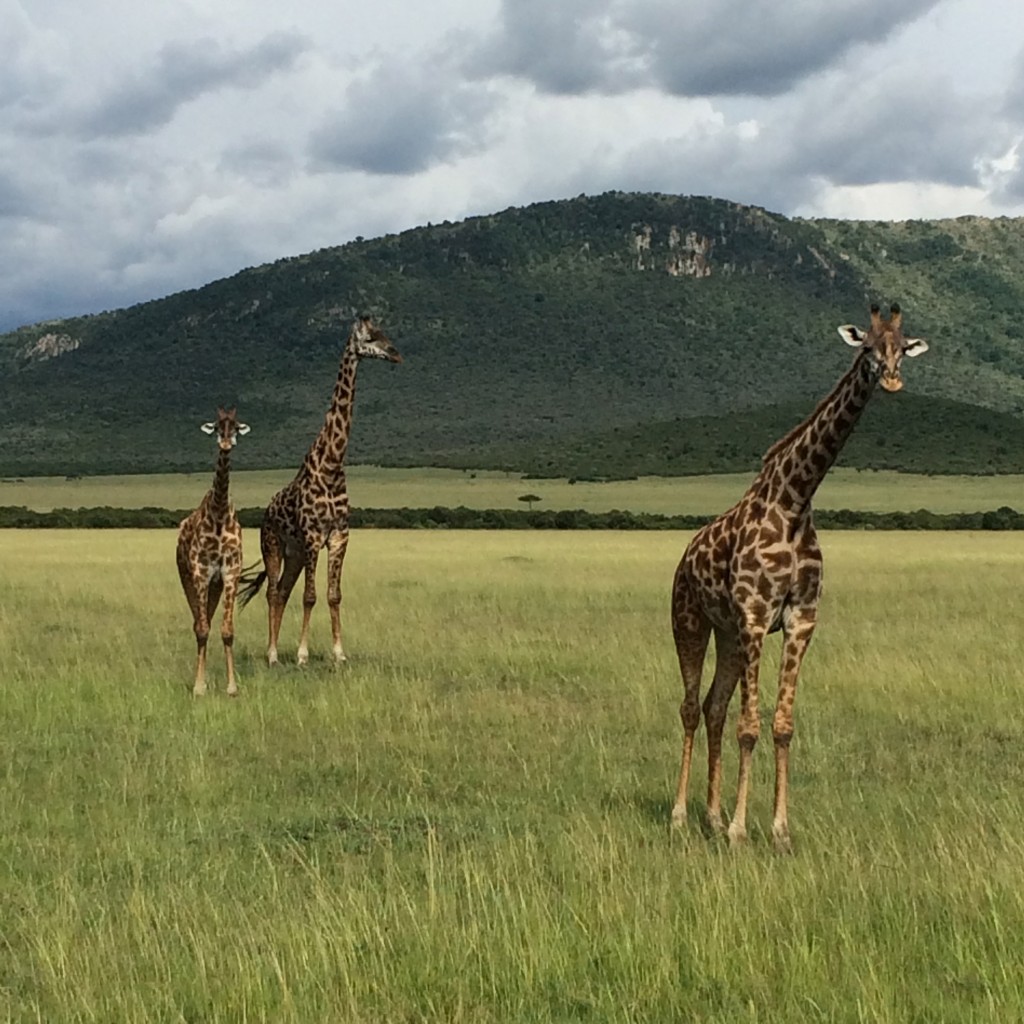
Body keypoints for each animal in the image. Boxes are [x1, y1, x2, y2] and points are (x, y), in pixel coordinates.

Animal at [175, 405, 248, 696]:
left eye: (236, 426)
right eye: (217, 427)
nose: (226, 443)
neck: (218, 512)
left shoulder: (230, 573)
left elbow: (227, 631)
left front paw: (232, 687)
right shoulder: (201, 572)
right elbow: (203, 629)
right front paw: (199, 687)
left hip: (215, 586)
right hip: (187, 578)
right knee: (198, 623)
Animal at [237, 315, 401, 667]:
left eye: (384, 332)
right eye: (370, 337)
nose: (396, 354)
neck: (332, 464)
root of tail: (266, 511)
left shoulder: (339, 536)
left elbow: (333, 595)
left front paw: (339, 653)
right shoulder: (314, 536)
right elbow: (310, 596)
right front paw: (302, 655)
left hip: (295, 554)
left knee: (283, 591)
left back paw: (274, 650)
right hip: (273, 545)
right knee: (273, 591)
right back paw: (271, 654)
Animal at [671, 307, 929, 851]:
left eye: (901, 347)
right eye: (868, 346)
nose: (892, 378)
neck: (795, 500)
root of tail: (685, 555)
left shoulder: (800, 619)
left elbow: (782, 724)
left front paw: (779, 831)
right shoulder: (754, 616)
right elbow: (750, 725)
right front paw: (741, 832)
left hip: (726, 634)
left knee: (713, 707)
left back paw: (711, 816)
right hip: (690, 621)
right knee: (689, 707)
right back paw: (682, 815)